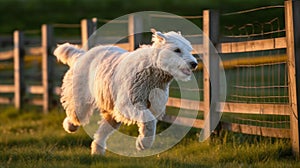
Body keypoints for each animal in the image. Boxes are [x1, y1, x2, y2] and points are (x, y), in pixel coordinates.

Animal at [53, 28, 198, 155]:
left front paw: (143, 143)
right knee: (76, 115)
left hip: (111, 112)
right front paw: (143, 143)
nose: (194, 64)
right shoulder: (129, 103)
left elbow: (150, 123)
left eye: (189, 50)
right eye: (177, 50)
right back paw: (69, 126)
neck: (153, 74)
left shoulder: (152, 106)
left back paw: (97, 151)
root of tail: (82, 55)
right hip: (81, 99)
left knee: (102, 131)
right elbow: (148, 119)